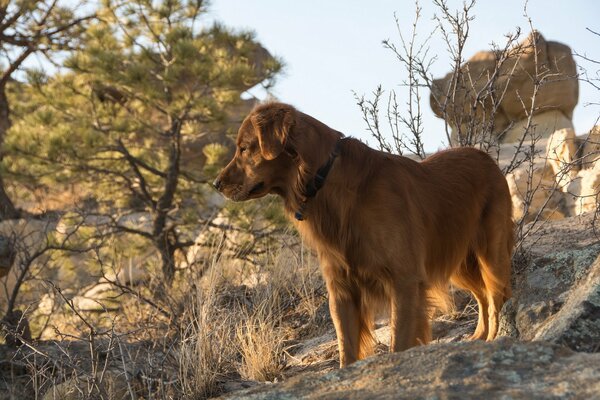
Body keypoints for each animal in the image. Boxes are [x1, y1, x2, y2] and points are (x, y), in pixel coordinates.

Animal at [213, 101, 512, 368]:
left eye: (244, 148)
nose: (216, 184)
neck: (323, 179)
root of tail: (486, 157)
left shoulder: (404, 280)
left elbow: (398, 341)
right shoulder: (342, 289)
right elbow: (347, 349)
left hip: (490, 254)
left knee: (496, 296)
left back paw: (496, 340)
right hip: (459, 262)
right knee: (483, 297)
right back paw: (480, 338)